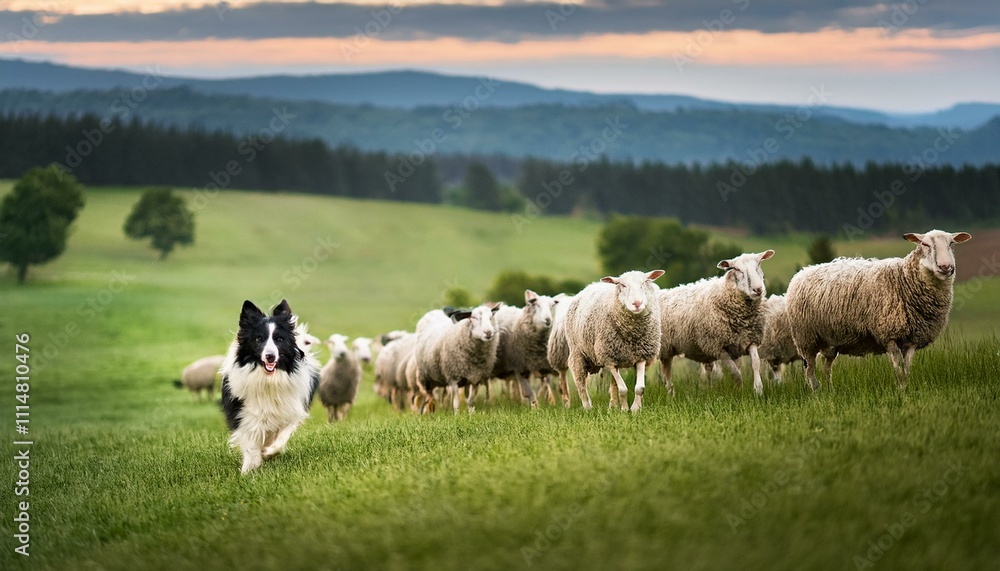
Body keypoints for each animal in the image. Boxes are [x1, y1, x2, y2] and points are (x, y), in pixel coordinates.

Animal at [565, 270, 665, 412]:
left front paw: (635, 409)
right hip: (577, 352)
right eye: (622, 285)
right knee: (580, 381)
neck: (632, 334)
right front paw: (625, 409)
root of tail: (590, 286)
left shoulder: (641, 356)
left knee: (613, 383)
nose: (637, 303)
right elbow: (623, 389)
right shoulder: (608, 359)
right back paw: (588, 407)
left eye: (644, 283)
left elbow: (639, 388)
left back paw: (613, 405)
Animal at [658, 250, 774, 397]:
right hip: (666, 349)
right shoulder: (717, 348)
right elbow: (735, 373)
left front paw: (758, 390)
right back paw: (670, 395)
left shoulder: (750, 340)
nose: (757, 289)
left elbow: (755, 363)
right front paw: (740, 391)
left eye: (759, 264)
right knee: (667, 374)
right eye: (737, 269)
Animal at [785, 230, 971, 390]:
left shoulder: (912, 340)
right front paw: (900, 390)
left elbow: (907, 369)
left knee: (826, 368)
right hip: (806, 339)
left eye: (952, 244)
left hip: (830, 341)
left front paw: (906, 388)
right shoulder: (890, 335)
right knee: (809, 370)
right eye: (925, 244)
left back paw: (829, 390)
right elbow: (898, 368)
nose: (946, 267)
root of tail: (802, 272)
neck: (904, 280)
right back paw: (816, 391)